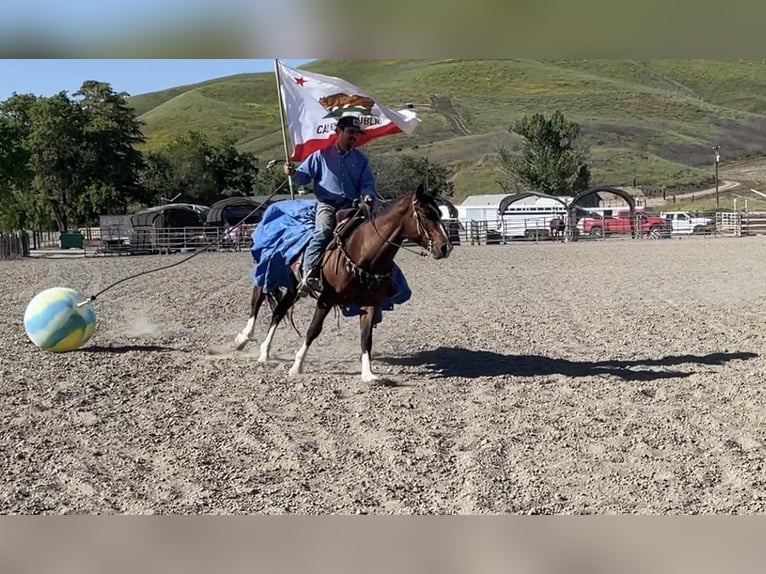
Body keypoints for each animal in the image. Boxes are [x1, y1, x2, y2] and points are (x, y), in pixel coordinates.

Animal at [231, 184, 452, 382]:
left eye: (439, 213)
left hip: (294, 287)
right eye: (425, 214)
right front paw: (297, 365)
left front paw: (368, 374)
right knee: (257, 300)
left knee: (279, 311)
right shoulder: (327, 298)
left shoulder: (370, 303)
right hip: (268, 271)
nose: (445, 247)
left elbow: (366, 337)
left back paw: (264, 351)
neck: (363, 252)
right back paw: (243, 338)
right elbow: (313, 329)